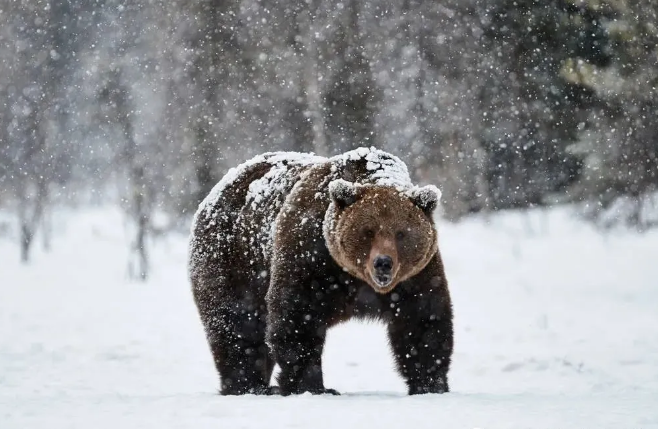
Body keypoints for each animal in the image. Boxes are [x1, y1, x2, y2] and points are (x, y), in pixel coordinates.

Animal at [188, 147, 453, 396]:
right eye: (368, 231)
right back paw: (248, 386)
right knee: (237, 325)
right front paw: (311, 386)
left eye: (401, 233)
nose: (383, 263)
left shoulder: (416, 276)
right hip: (233, 260)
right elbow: (297, 317)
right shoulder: (310, 255)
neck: (354, 277)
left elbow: (423, 321)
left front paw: (430, 384)